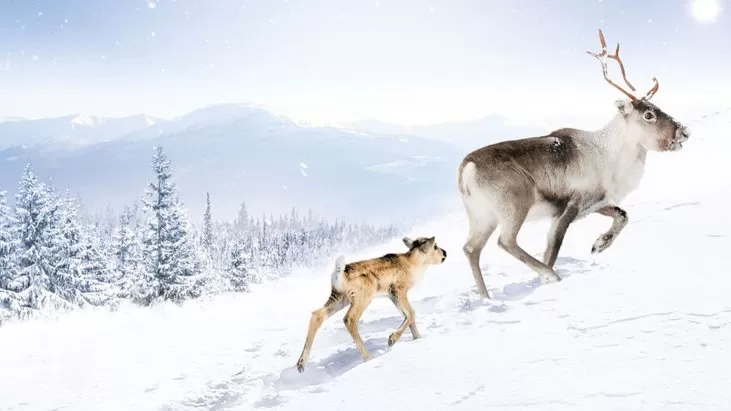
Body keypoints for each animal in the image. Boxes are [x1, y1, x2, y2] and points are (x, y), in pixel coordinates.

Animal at [296, 235, 446, 374]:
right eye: (435, 246)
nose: (445, 253)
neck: (413, 264)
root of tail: (339, 274)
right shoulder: (399, 290)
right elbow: (411, 313)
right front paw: (392, 339)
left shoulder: (391, 295)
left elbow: (408, 316)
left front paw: (417, 338)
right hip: (362, 297)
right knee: (349, 319)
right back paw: (368, 357)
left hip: (339, 298)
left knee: (317, 315)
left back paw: (301, 364)